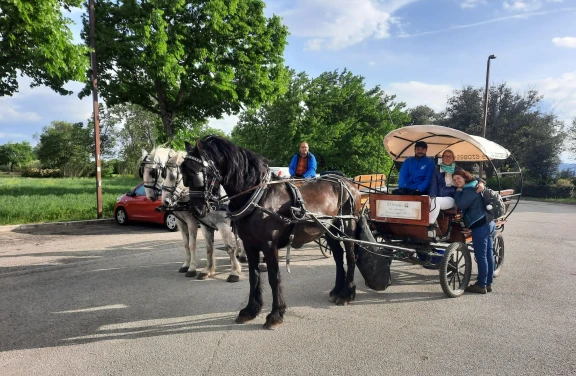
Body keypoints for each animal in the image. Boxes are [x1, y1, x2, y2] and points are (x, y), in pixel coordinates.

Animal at [143, 147, 246, 282]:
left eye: (153, 172)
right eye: (143, 171)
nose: (150, 196)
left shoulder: (197, 222)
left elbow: (193, 244)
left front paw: (192, 268)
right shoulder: (184, 222)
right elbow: (190, 244)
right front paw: (189, 266)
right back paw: (240, 254)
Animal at [180, 137, 360, 328]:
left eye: (197, 172)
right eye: (184, 175)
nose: (196, 210)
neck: (259, 196)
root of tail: (348, 182)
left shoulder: (269, 244)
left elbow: (274, 277)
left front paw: (276, 314)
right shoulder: (249, 244)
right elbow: (253, 276)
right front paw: (250, 310)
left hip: (347, 226)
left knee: (350, 257)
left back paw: (347, 294)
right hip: (329, 230)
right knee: (338, 257)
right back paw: (337, 290)